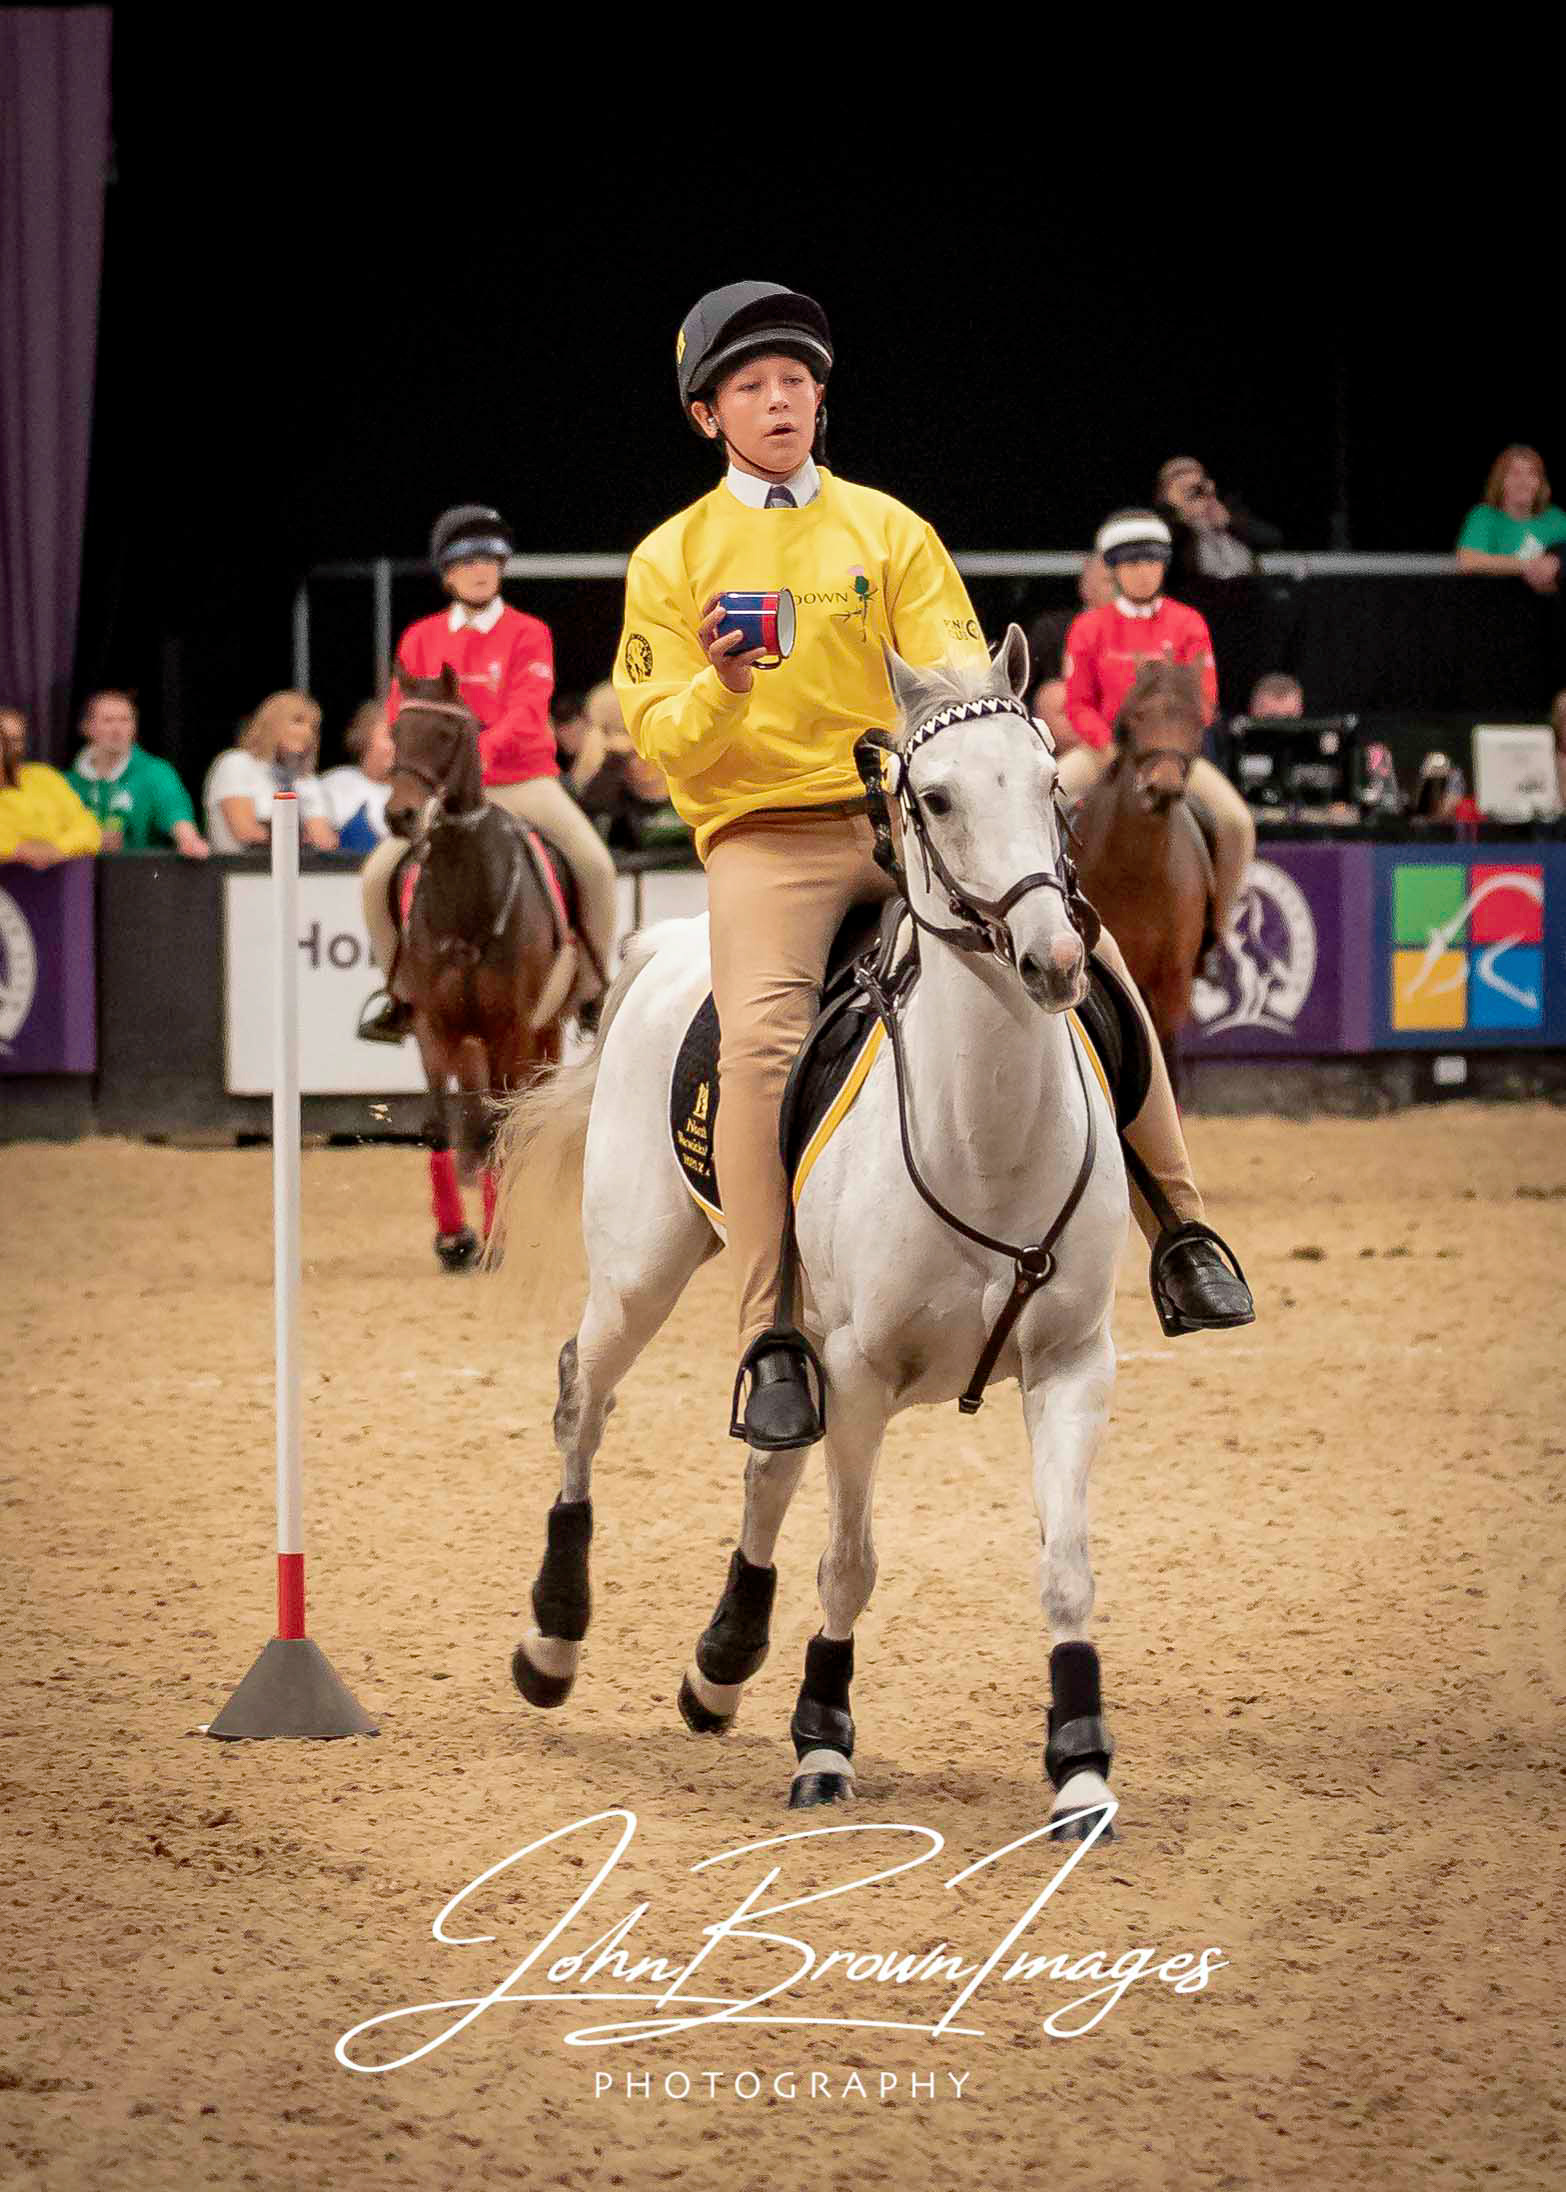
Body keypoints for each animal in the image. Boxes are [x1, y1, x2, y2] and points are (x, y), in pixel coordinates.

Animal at [385, 666, 578, 1271]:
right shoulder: (434, 1026)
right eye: (395, 731)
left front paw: (496, 1236)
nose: (399, 815)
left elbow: (500, 1126)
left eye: (448, 735)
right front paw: (454, 1239)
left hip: (541, 1032)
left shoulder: (510, 1028)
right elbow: (437, 1127)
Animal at [492, 625, 1131, 1833]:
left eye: (1053, 787)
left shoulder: (1072, 1362)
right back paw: (552, 1638)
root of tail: (667, 943)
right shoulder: (863, 1371)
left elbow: (1069, 1565)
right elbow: (850, 1564)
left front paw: (1080, 1765)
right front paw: (824, 1743)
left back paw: (720, 1664)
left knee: (767, 1460)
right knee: (581, 1396)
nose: (1055, 961)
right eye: (935, 797)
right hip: (643, 1273)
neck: (986, 1137)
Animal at [1069, 661, 1212, 1093]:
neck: (1138, 873)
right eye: (1138, 716)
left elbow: (1167, 1056)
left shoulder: (1172, 985)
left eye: (1196, 719)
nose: (1162, 786)